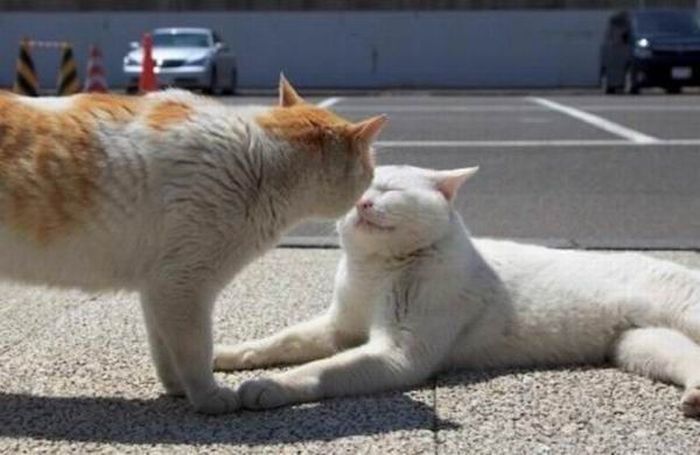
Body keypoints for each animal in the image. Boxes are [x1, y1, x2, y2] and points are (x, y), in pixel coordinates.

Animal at [0, 76, 386, 416]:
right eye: (370, 168)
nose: (369, 188)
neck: (262, 158)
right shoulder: (184, 284)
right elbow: (195, 348)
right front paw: (208, 396)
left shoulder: (161, 285)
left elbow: (164, 347)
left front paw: (178, 389)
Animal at [216, 166, 700, 418]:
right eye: (360, 187)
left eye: (388, 189)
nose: (362, 203)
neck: (375, 272)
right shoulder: (339, 327)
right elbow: (281, 341)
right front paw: (227, 354)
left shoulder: (398, 355)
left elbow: (321, 369)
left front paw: (269, 387)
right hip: (638, 346)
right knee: (688, 357)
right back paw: (695, 395)